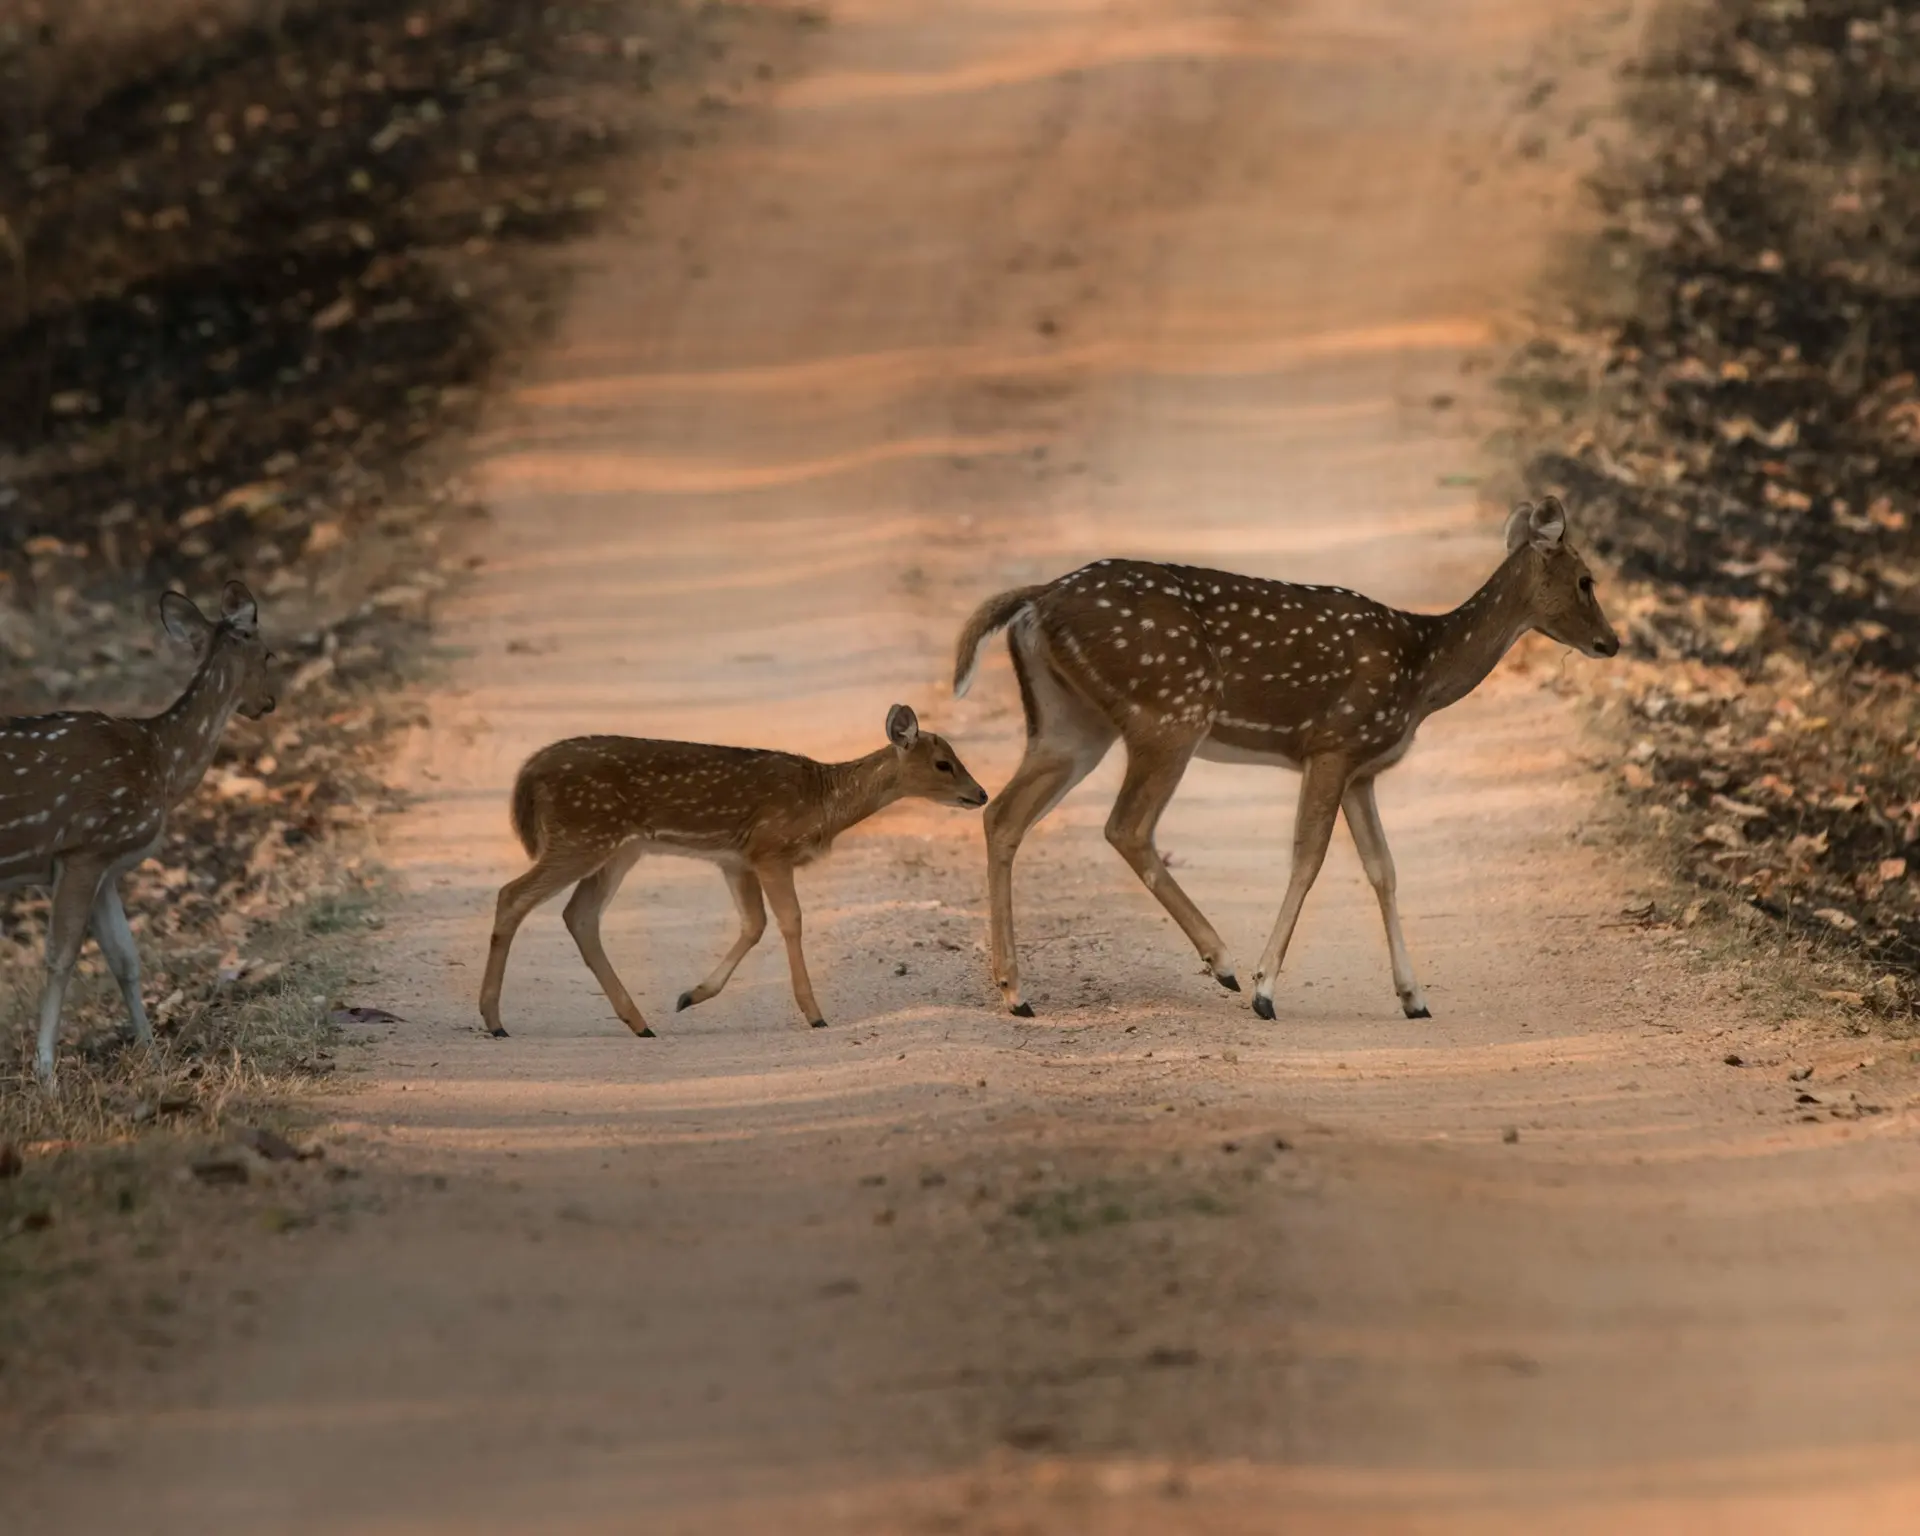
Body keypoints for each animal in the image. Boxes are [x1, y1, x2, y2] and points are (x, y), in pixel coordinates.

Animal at [0, 583, 278, 1082]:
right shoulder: (83, 847)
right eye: (268, 653)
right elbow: (60, 956)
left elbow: (125, 959)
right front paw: (46, 1072)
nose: (269, 702)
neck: (161, 762)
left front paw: (152, 1051)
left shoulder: (104, 866)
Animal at [480, 702, 990, 1036]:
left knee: (579, 915)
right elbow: (790, 921)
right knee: (513, 895)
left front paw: (690, 996)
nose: (981, 793)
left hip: (617, 848)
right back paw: (494, 1020)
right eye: (944, 764)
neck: (823, 804)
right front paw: (815, 1014)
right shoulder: (771, 848)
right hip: (583, 833)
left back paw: (640, 1023)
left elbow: (754, 924)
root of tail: (527, 775)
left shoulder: (735, 858)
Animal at [952, 495, 1612, 1021]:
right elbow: (1309, 858)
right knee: (1126, 826)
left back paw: (1016, 992)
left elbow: (1383, 869)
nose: (1612, 641)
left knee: (1003, 814)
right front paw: (1265, 989)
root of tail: (1038, 600)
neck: (1421, 670)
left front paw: (1414, 997)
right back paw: (1222, 962)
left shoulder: (1362, 770)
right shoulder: (1333, 742)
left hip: (1070, 725)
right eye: (1586, 580)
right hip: (1171, 709)